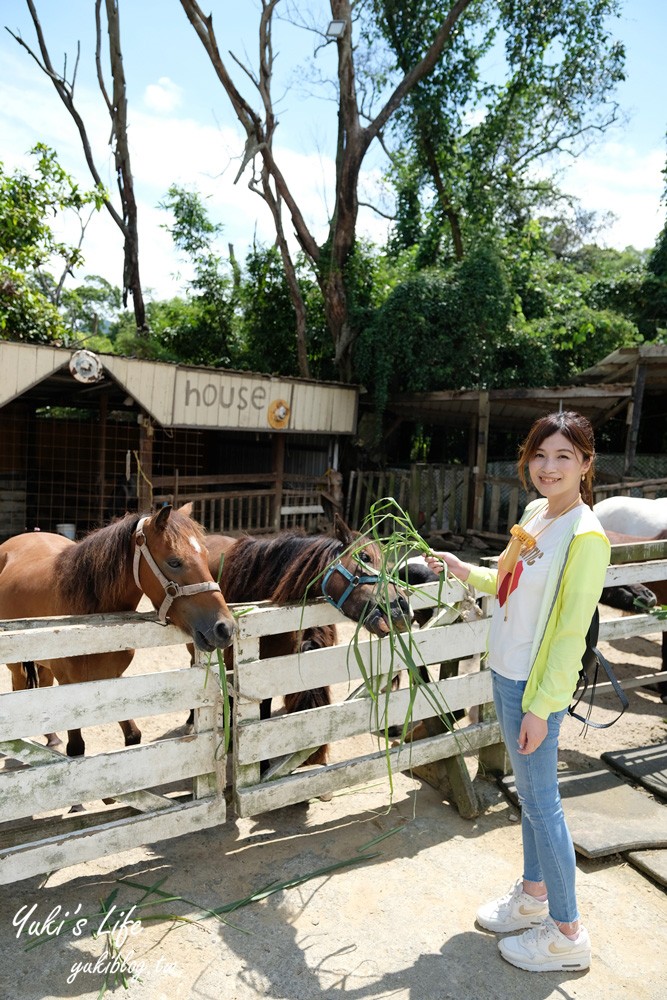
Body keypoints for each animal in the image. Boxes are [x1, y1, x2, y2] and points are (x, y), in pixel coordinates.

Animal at [0, 508, 236, 756]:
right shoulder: (69, 686)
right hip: (16, 666)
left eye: (206, 555)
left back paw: (52, 738)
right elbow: (76, 748)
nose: (224, 628)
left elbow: (133, 735)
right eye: (174, 562)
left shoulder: (114, 678)